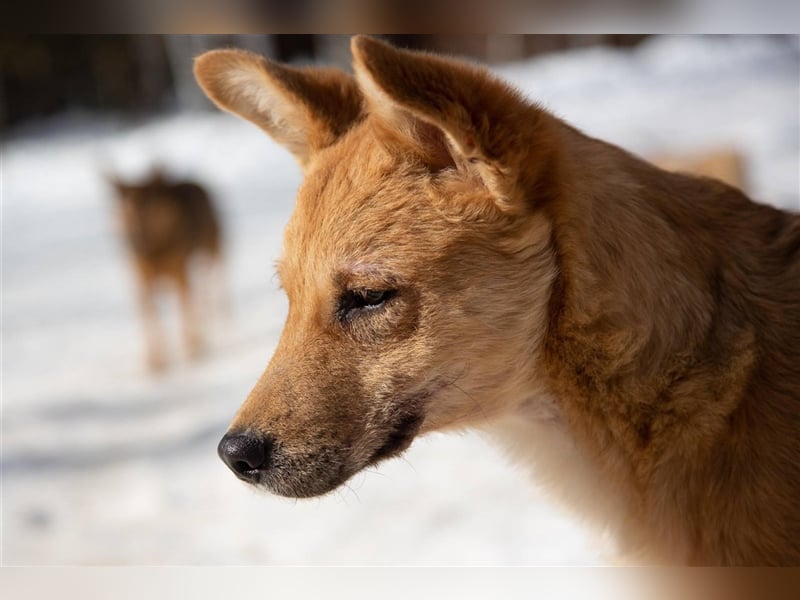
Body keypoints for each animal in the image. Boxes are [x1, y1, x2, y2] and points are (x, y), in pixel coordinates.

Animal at [108, 166, 223, 368]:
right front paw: (156, 361)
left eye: (149, 207)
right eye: (125, 209)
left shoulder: (180, 273)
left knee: (212, 285)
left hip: (212, 249)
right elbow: (152, 320)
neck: (153, 252)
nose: (133, 241)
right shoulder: (142, 283)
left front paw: (193, 346)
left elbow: (185, 310)